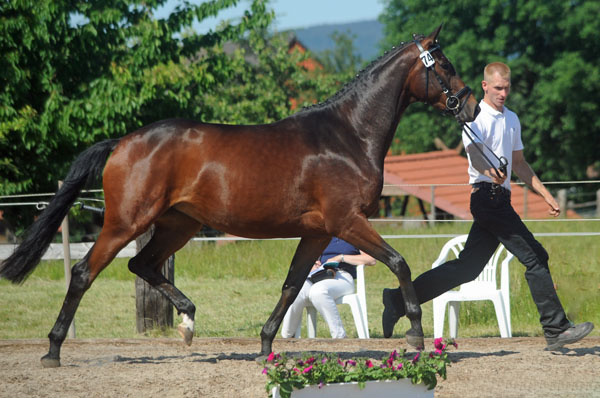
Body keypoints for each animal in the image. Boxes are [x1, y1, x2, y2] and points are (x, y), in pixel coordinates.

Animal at [0, 24, 478, 366]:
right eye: (445, 65)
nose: (471, 106)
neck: (346, 136)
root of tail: (122, 143)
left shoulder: (318, 233)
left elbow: (291, 285)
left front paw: (265, 344)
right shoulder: (348, 222)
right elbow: (399, 262)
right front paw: (414, 333)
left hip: (178, 225)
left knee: (142, 264)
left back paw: (188, 321)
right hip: (126, 222)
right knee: (84, 272)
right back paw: (53, 350)